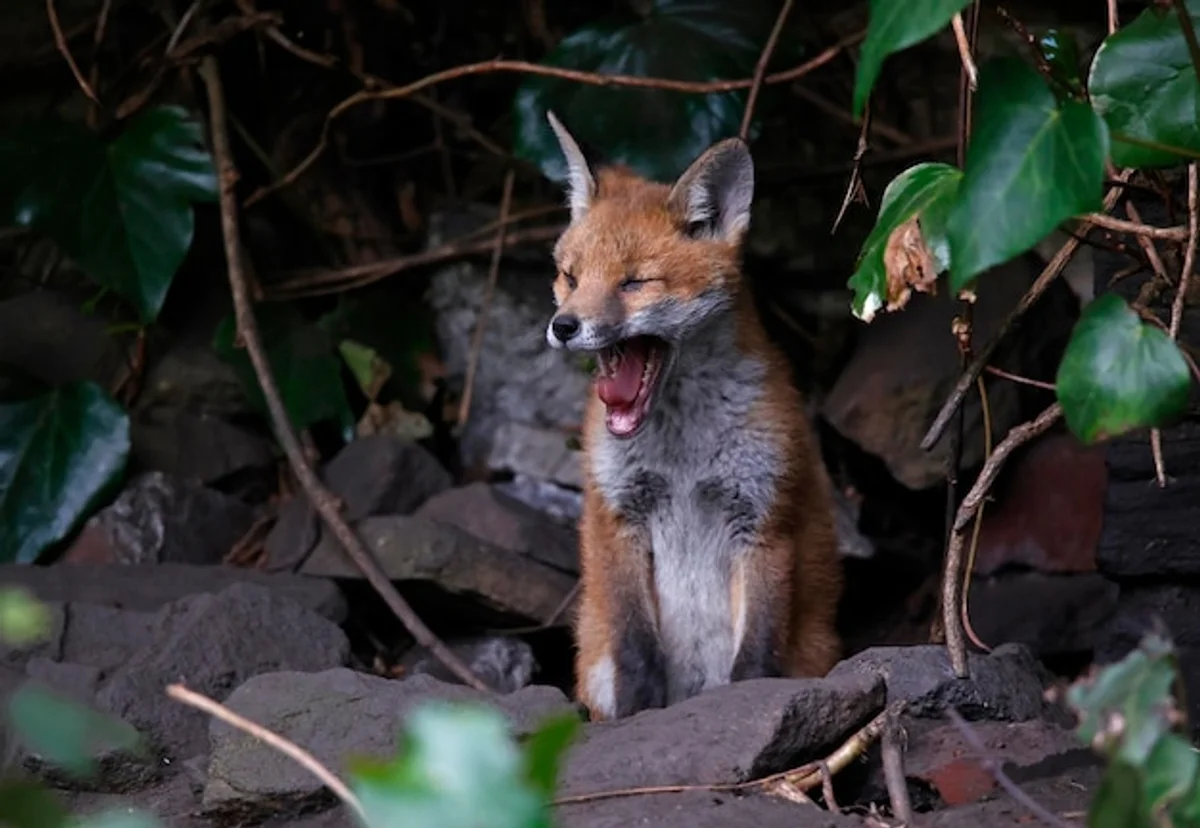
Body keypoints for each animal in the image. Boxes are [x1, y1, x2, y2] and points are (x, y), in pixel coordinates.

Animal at [542, 111, 845, 722]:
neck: (682, 460)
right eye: (570, 276)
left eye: (634, 282)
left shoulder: (764, 520)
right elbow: (636, 654)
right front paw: (638, 717)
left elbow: (756, 659)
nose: (563, 326)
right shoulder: (618, 519)